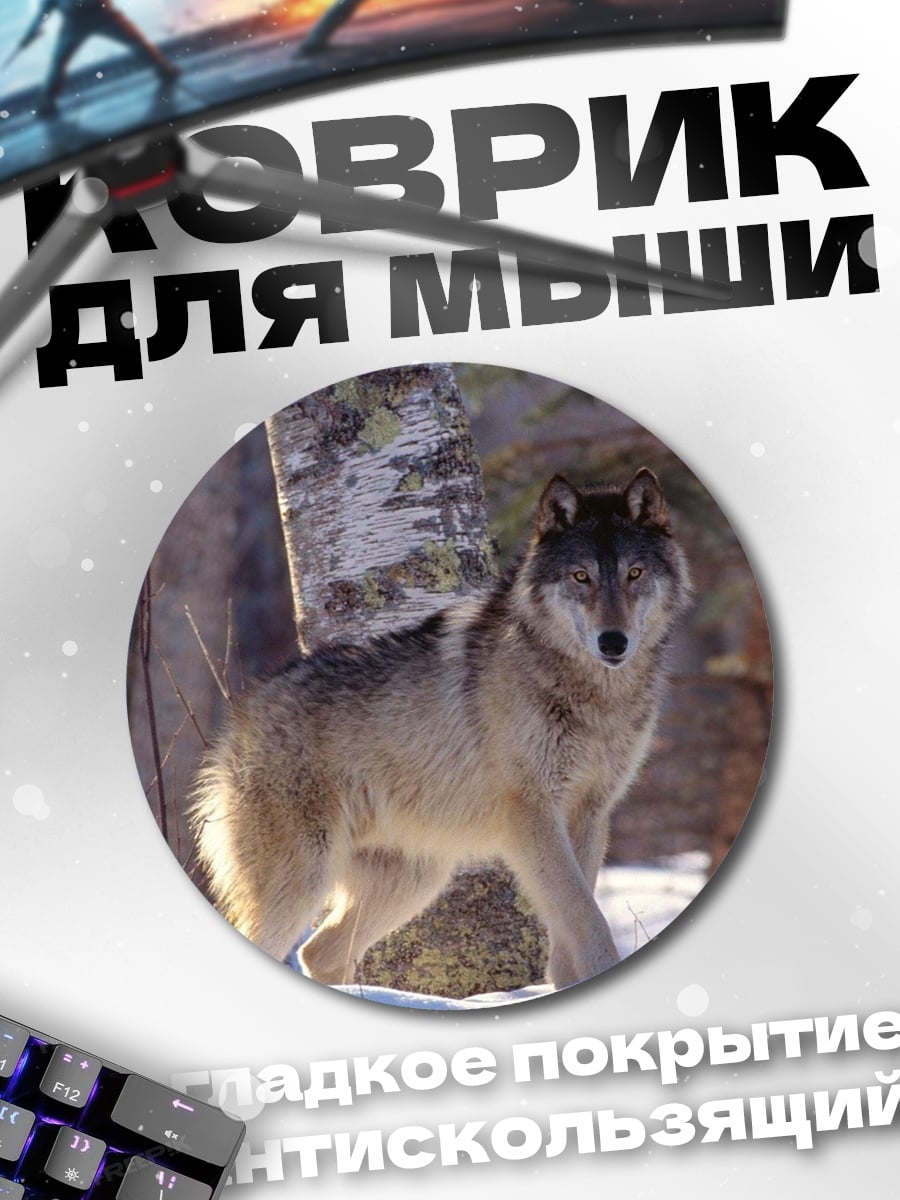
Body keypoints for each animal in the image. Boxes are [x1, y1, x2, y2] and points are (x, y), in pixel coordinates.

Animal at [191, 467, 692, 990]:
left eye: (634, 574)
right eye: (581, 576)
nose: (613, 642)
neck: (593, 697)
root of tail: (238, 718)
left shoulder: (590, 814)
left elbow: (573, 923)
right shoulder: (532, 814)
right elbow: (587, 919)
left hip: (414, 882)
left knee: (318, 953)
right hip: (302, 883)